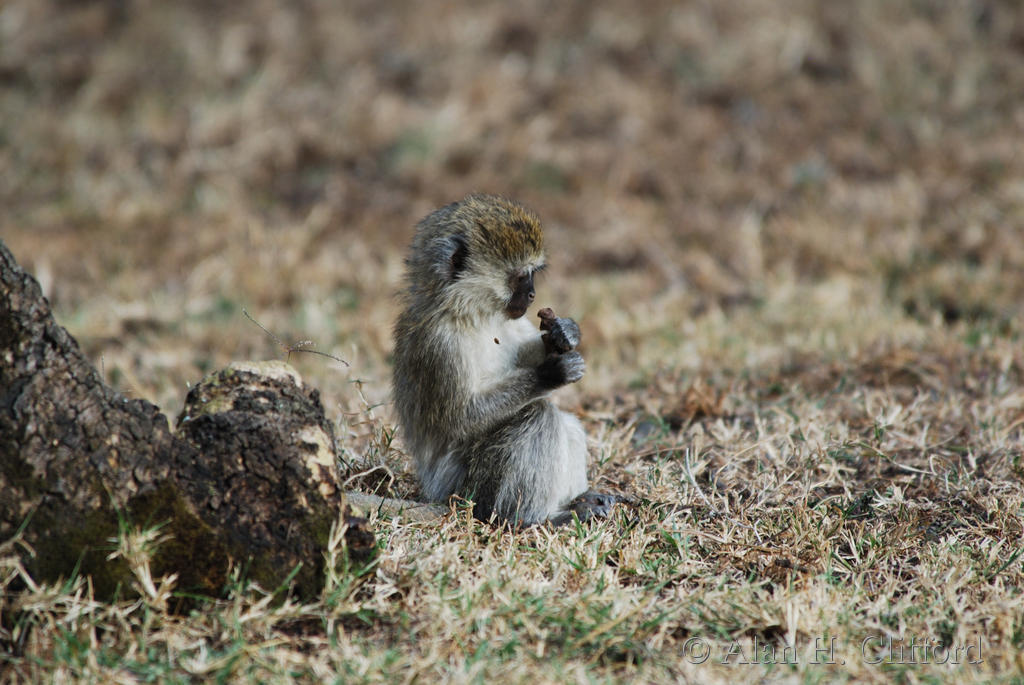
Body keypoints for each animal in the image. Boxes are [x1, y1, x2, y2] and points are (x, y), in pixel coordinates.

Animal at [392, 194, 619, 526]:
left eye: (533, 275)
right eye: (521, 276)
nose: (533, 295)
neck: (470, 313)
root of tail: (435, 493)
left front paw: (563, 333)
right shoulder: (440, 343)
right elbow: (462, 418)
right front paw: (550, 373)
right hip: (464, 489)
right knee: (539, 415)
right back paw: (534, 518)